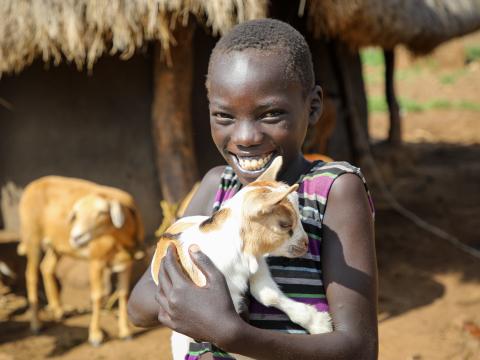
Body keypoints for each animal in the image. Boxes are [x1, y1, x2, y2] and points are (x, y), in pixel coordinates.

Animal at [18, 176, 144, 346]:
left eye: (101, 212)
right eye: (76, 214)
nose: (76, 237)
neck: (119, 241)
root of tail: (35, 184)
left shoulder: (126, 263)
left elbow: (123, 293)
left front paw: (125, 332)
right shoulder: (96, 261)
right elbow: (97, 296)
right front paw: (95, 336)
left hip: (57, 246)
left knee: (47, 268)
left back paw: (58, 311)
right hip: (32, 238)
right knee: (31, 275)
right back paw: (36, 325)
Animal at [152, 159, 332, 360]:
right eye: (285, 224)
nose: (306, 243)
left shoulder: (256, 262)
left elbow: (267, 294)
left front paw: (318, 323)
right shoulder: (207, 320)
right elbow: (232, 341)